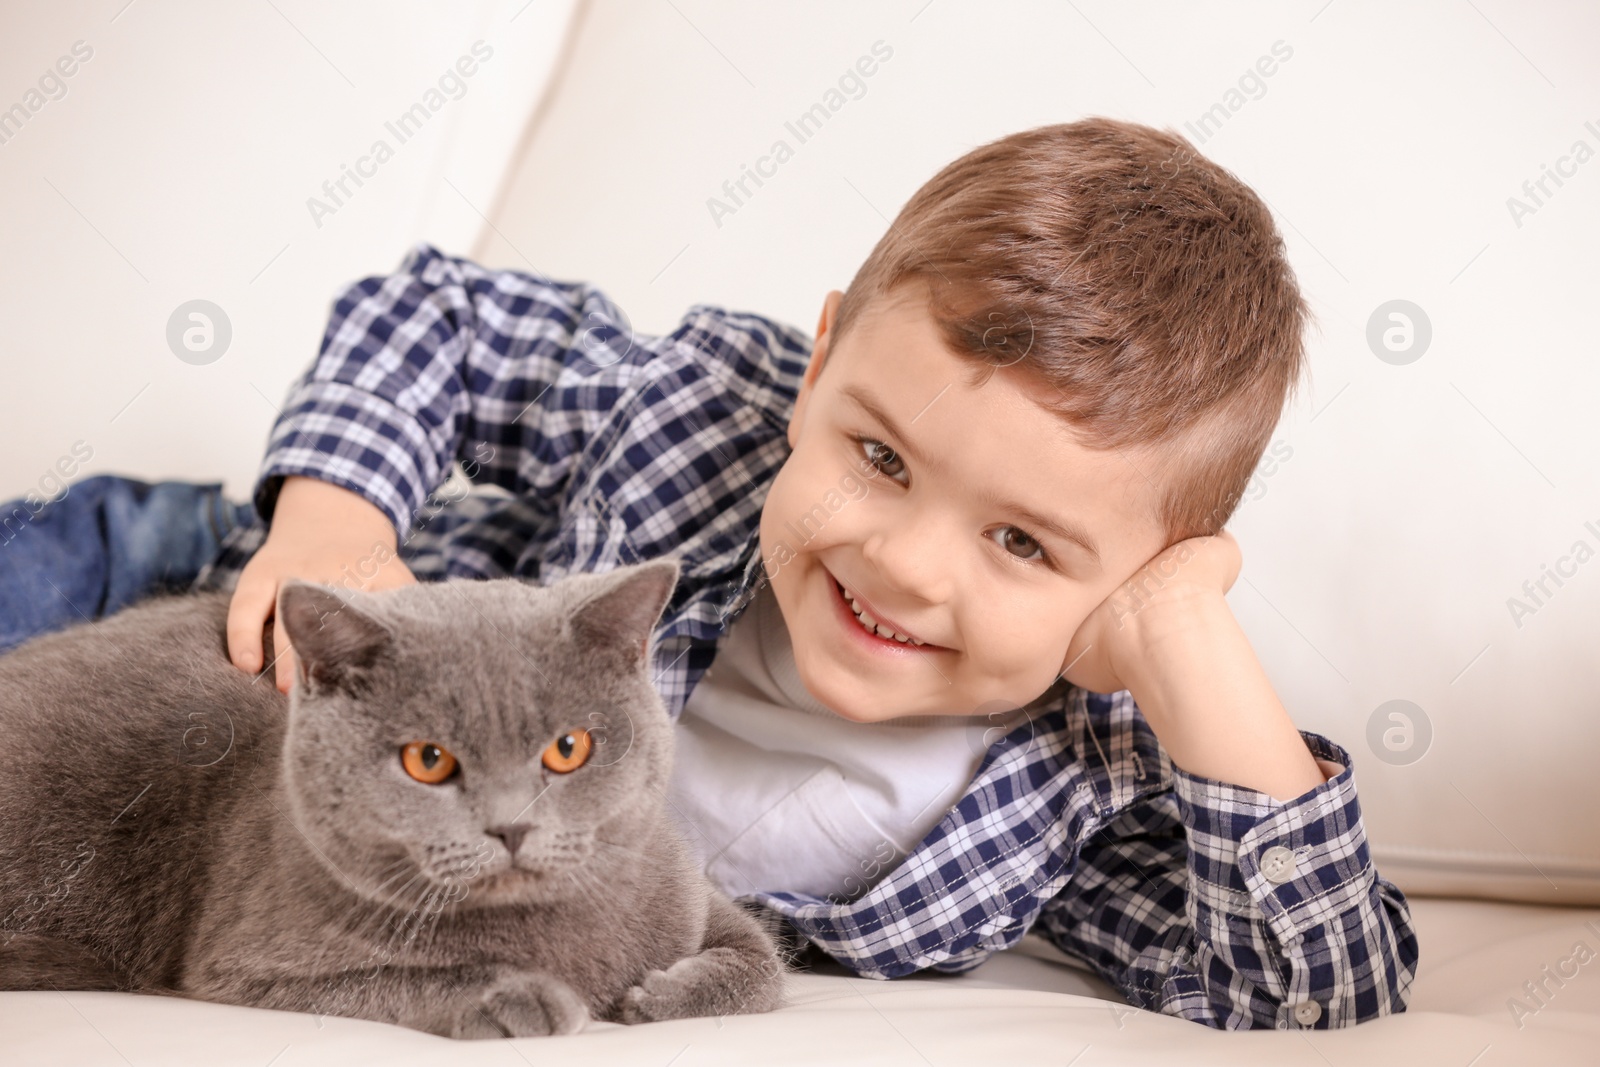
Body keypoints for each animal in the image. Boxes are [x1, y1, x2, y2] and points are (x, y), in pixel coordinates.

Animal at [0, 563, 780, 1036]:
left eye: (569, 748)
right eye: (427, 760)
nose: (511, 826)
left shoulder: (684, 887)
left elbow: (763, 966)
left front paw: (657, 995)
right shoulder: (248, 967)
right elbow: (407, 976)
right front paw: (524, 996)